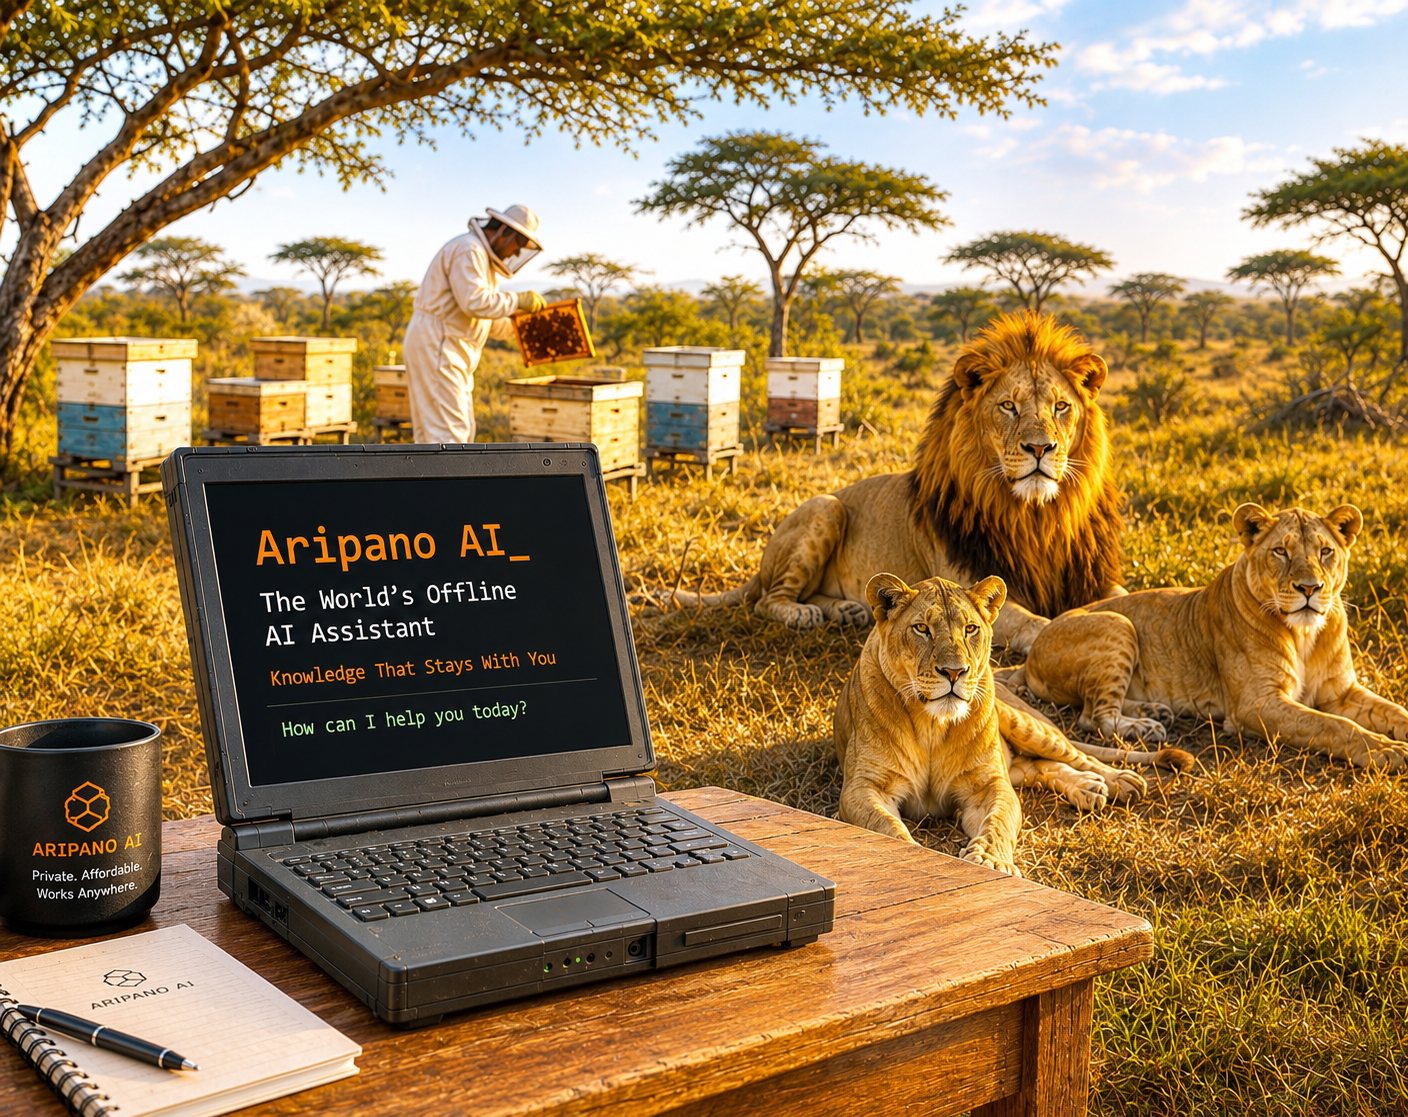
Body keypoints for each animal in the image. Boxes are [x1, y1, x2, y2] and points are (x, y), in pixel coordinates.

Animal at [670, 311, 1125, 655]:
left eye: (1061, 406)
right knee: (770, 599)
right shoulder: (975, 591)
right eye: (1008, 406)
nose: (1040, 448)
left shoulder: (1093, 577)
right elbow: (1039, 624)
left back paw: (847, 610)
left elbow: (1125, 597)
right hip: (825, 506)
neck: (1035, 516)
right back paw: (804, 613)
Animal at [834, 573, 1171, 873]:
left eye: (970, 629)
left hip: (1026, 724)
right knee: (1036, 766)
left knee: (1074, 756)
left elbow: (998, 823)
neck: (933, 724)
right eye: (921, 629)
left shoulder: (990, 785)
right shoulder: (862, 788)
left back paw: (1119, 781)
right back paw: (1088, 788)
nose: (954, 672)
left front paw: (991, 861)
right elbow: (887, 827)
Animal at [1010, 503, 1408, 771]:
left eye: (1326, 552)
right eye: (1281, 551)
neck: (1305, 634)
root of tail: (1033, 652)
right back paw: (1145, 726)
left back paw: (1155, 711)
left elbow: (1394, 710)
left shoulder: (1340, 691)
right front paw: (1386, 751)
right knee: (1094, 718)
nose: (1309, 588)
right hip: (1117, 622)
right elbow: (1334, 726)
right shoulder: (1254, 705)